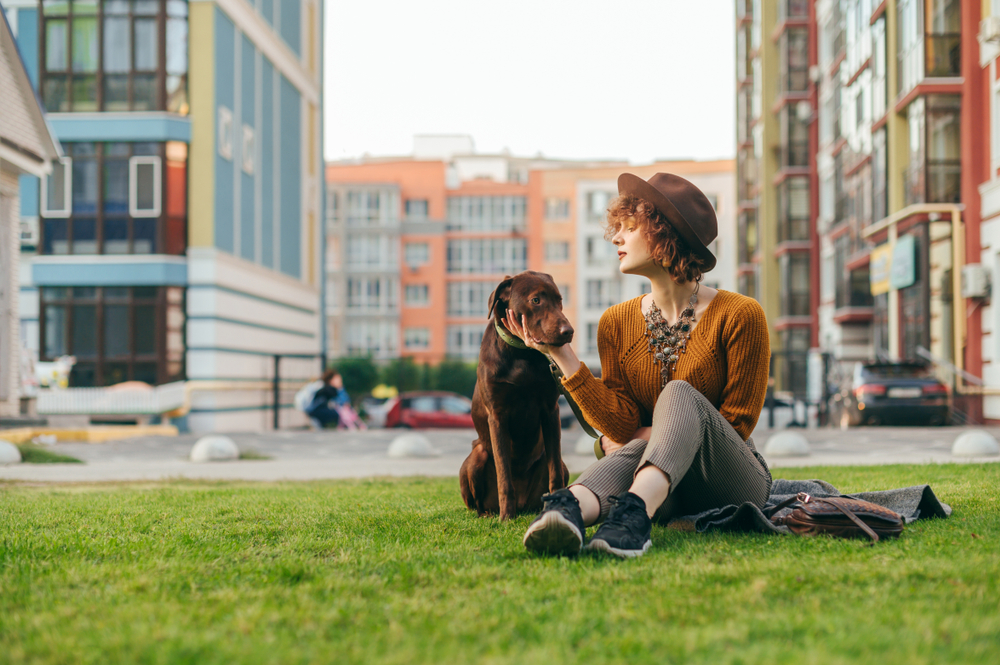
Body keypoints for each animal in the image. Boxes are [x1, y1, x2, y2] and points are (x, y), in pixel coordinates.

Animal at [458, 270, 572, 520]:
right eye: (536, 300)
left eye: (559, 300)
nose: (568, 332)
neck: (521, 354)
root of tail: (523, 505)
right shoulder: (497, 417)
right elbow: (504, 473)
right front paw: (506, 518)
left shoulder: (550, 411)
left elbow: (555, 473)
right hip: (475, 457)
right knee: (478, 503)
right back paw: (491, 514)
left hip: (558, 464)